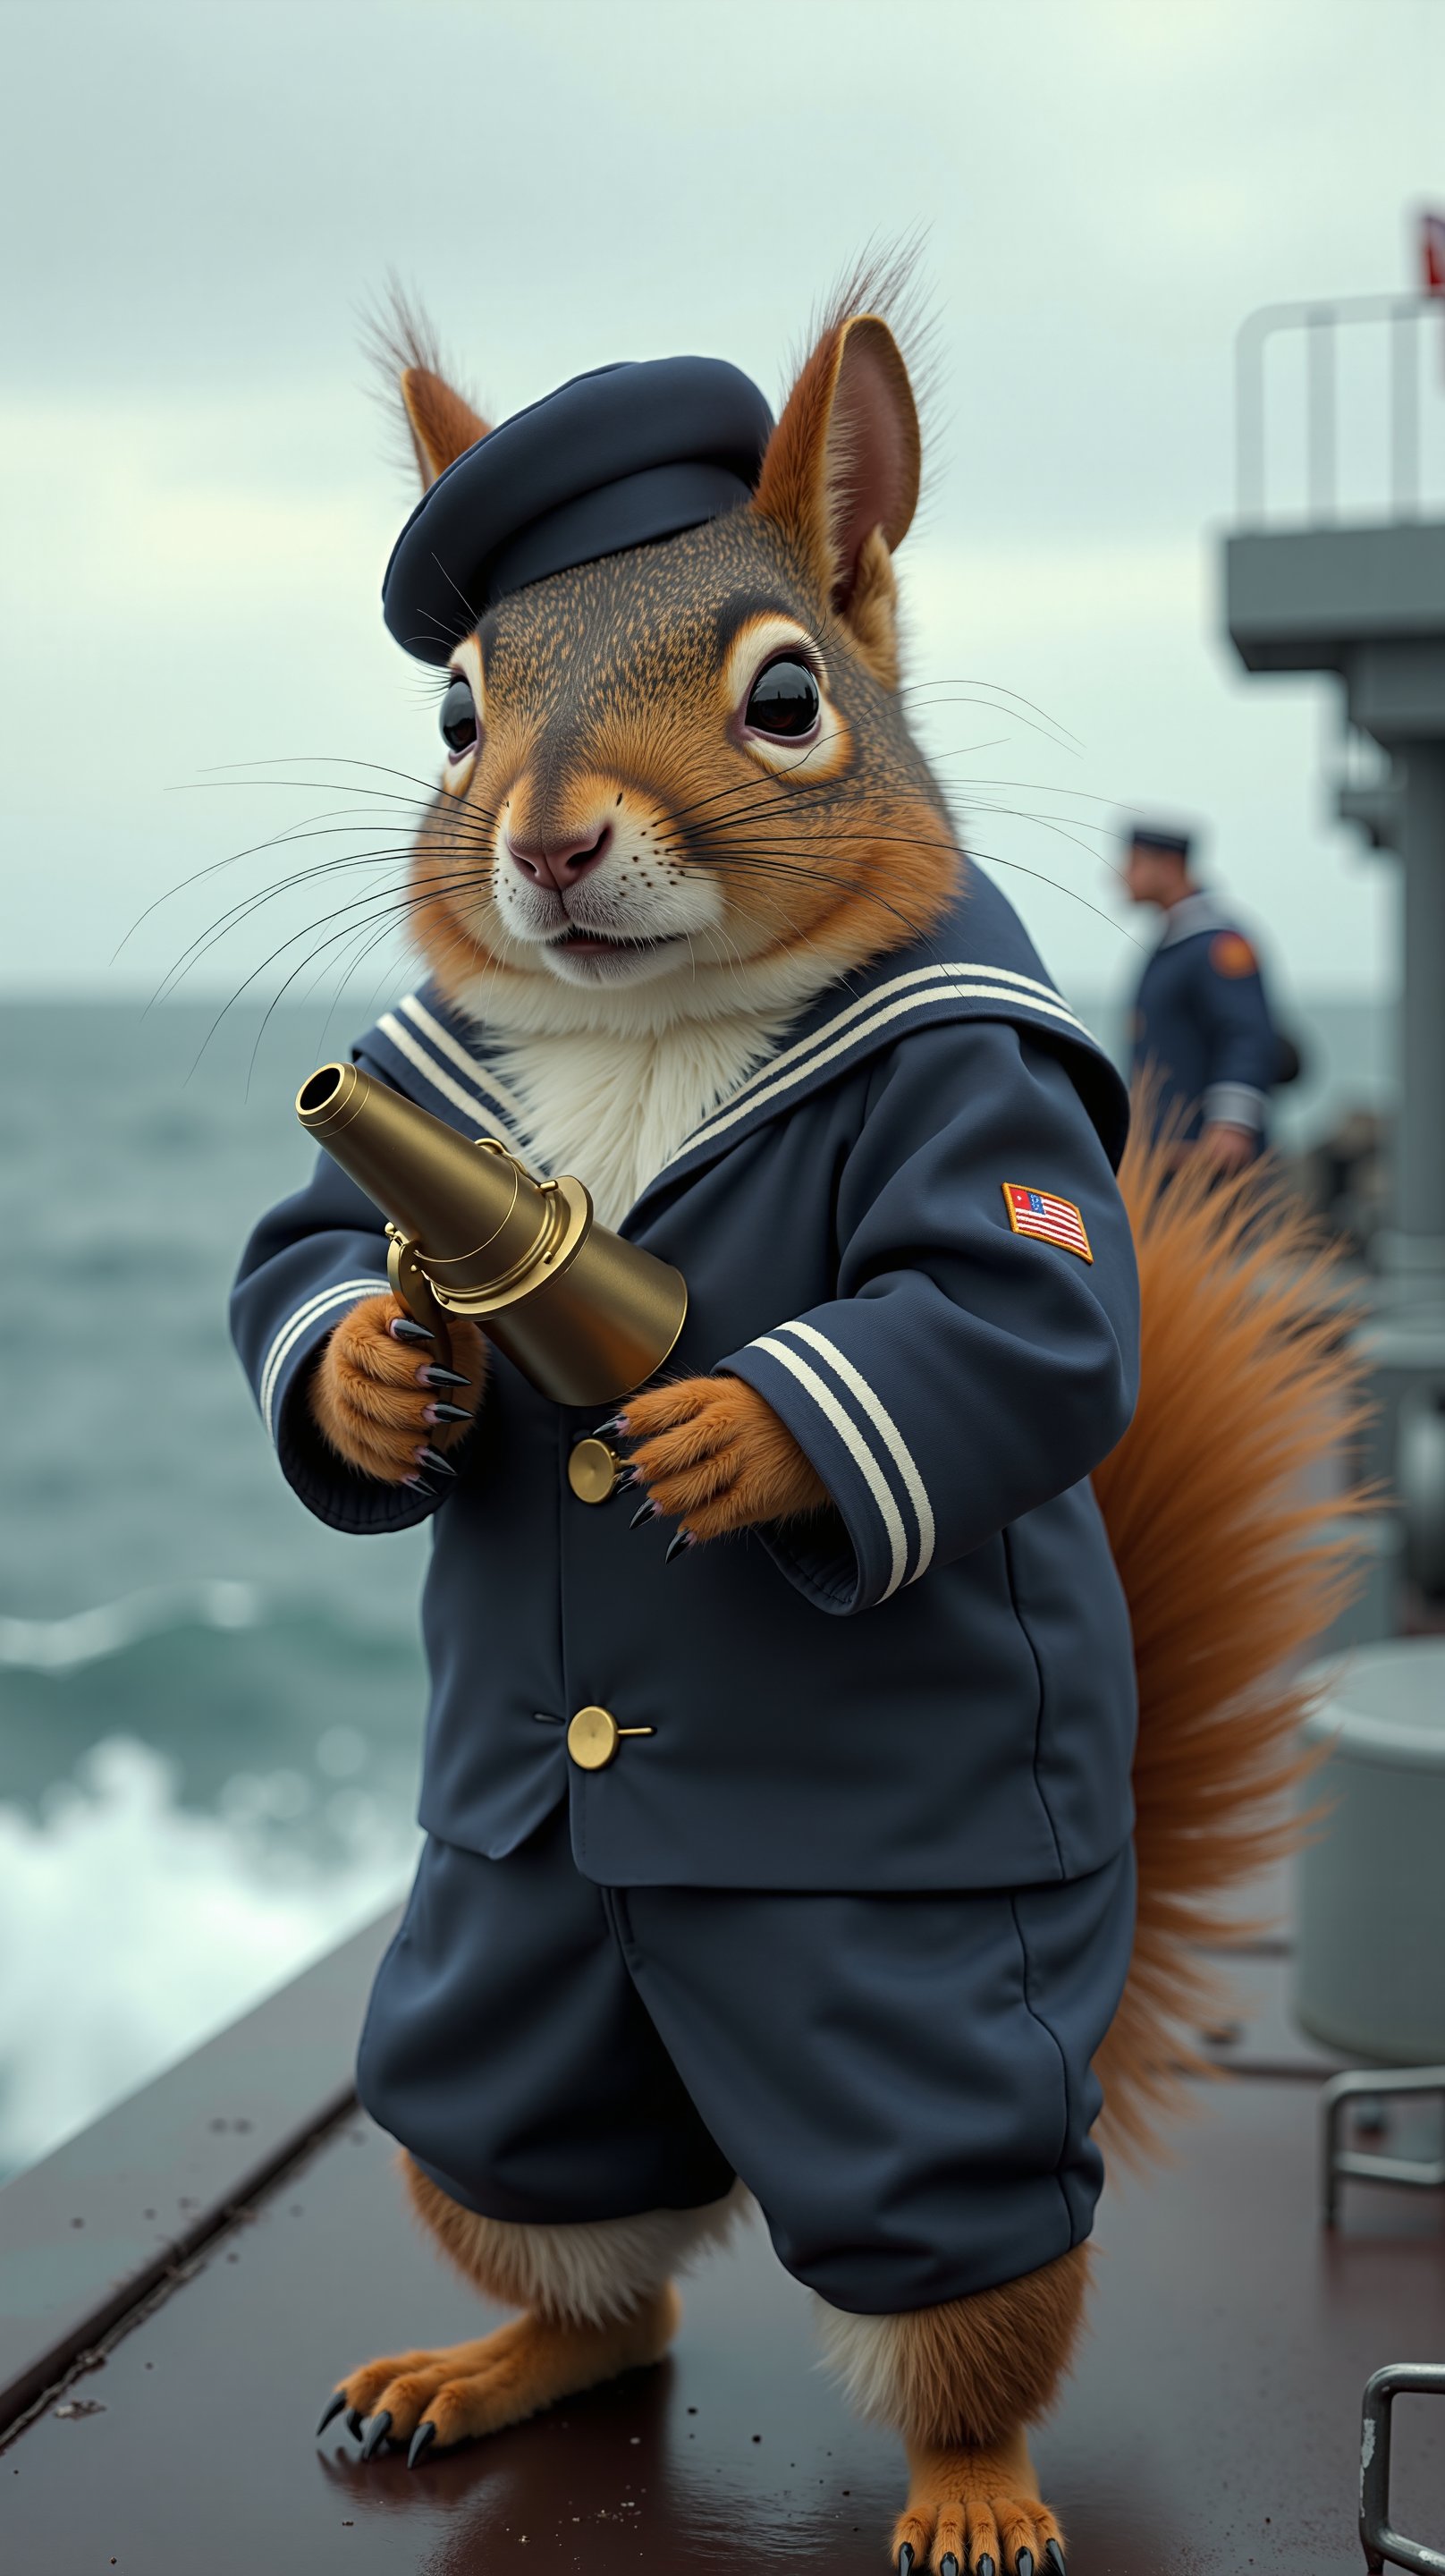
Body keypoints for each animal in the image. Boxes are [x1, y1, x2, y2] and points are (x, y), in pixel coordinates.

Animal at [227, 271, 1359, 2565]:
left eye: (784, 698)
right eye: (455, 715)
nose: (548, 839)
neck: (645, 1029)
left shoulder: (991, 1130)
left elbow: (1004, 1328)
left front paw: (735, 1440)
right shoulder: (414, 1121)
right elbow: (293, 1263)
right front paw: (375, 1378)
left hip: (910, 2025)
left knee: (945, 2263)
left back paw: (972, 2487)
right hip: (496, 1977)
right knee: (596, 2265)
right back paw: (477, 2365)